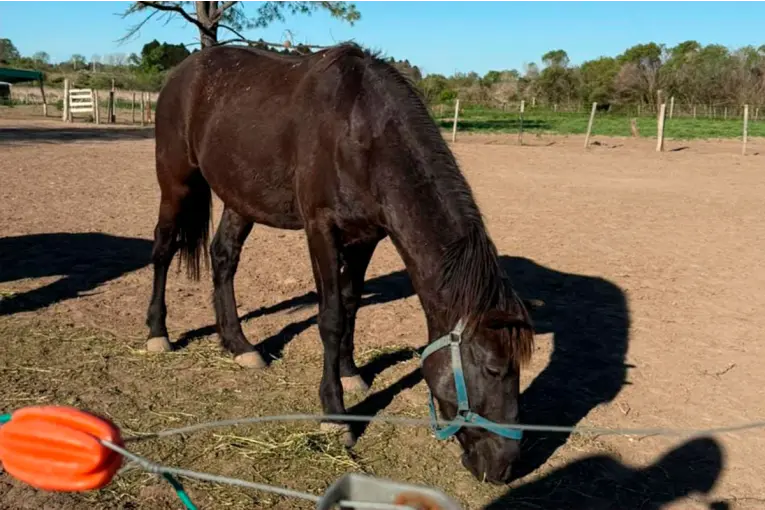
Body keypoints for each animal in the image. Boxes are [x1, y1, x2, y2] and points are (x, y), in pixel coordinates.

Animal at [145, 42, 534, 484]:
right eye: (493, 369)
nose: (505, 465)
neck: (363, 133)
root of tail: (184, 71)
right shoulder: (322, 230)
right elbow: (330, 318)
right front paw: (335, 413)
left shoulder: (367, 237)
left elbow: (350, 305)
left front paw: (351, 373)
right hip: (175, 181)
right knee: (163, 248)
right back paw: (158, 333)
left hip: (239, 197)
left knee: (224, 258)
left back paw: (239, 345)